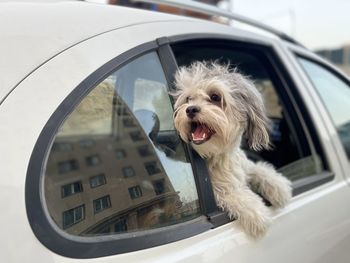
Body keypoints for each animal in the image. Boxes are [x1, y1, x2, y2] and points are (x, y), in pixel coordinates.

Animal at [173, 61, 292, 239]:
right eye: (188, 99)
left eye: (215, 97)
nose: (190, 109)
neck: (219, 154)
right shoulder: (217, 189)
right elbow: (231, 193)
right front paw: (257, 213)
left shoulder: (245, 166)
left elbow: (260, 170)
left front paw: (279, 186)